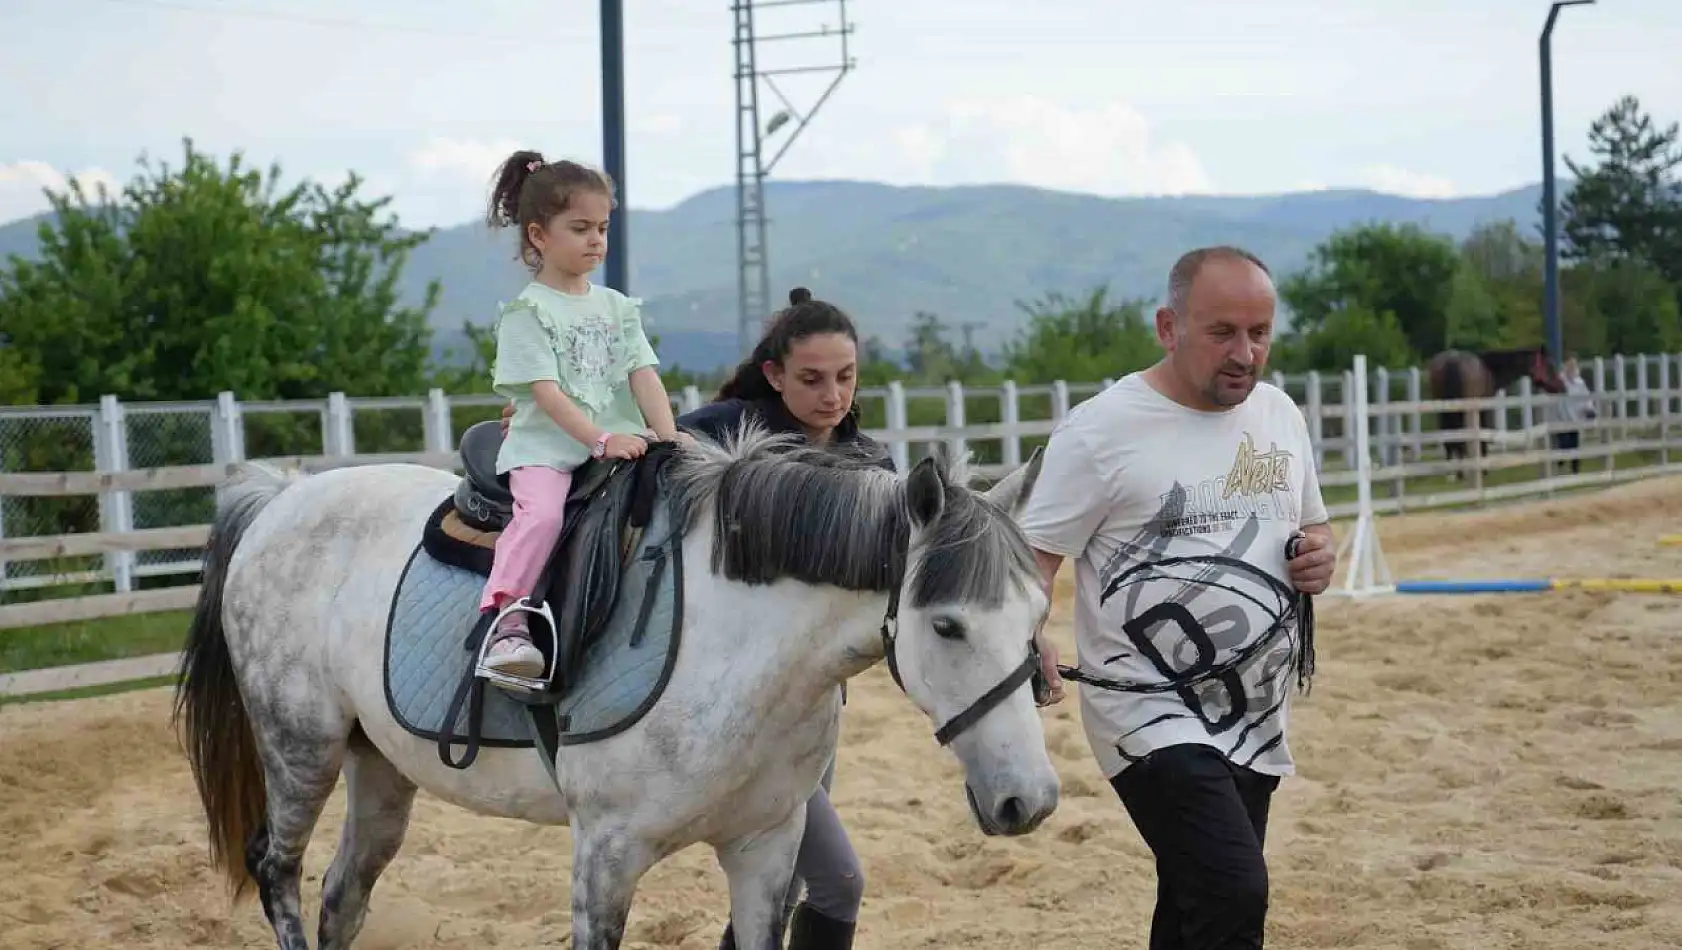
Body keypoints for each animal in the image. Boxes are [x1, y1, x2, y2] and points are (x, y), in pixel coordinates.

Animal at [174, 427, 1063, 948]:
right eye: (947, 626)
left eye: (1037, 614)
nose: (1032, 800)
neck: (739, 647)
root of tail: (281, 497)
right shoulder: (604, 856)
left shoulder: (767, 849)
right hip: (302, 749)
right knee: (278, 871)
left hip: (381, 769)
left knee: (343, 893)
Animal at [1426, 344, 1567, 470]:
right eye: (1549, 366)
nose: (1562, 387)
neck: (1491, 369)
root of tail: (1453, 360)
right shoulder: (1483, 409)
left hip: (1443, 408)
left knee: (1448, 433)